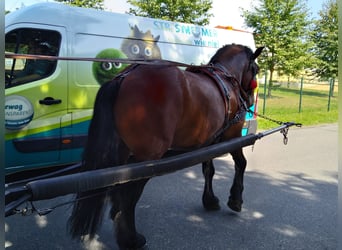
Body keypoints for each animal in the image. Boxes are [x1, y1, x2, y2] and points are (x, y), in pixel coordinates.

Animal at [67, 44, 264, 249]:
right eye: (255, 69)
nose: (250, 100)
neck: (226, 78)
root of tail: (125, 75)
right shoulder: (232, 138)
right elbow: (241, 164)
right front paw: (235, 199)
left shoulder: (210, 141)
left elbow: (208, 170)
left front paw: (209, 200)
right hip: (148, 158)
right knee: (129, 193)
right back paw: (130, 238)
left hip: (122, 152)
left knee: (117, 184)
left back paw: (118, 217)